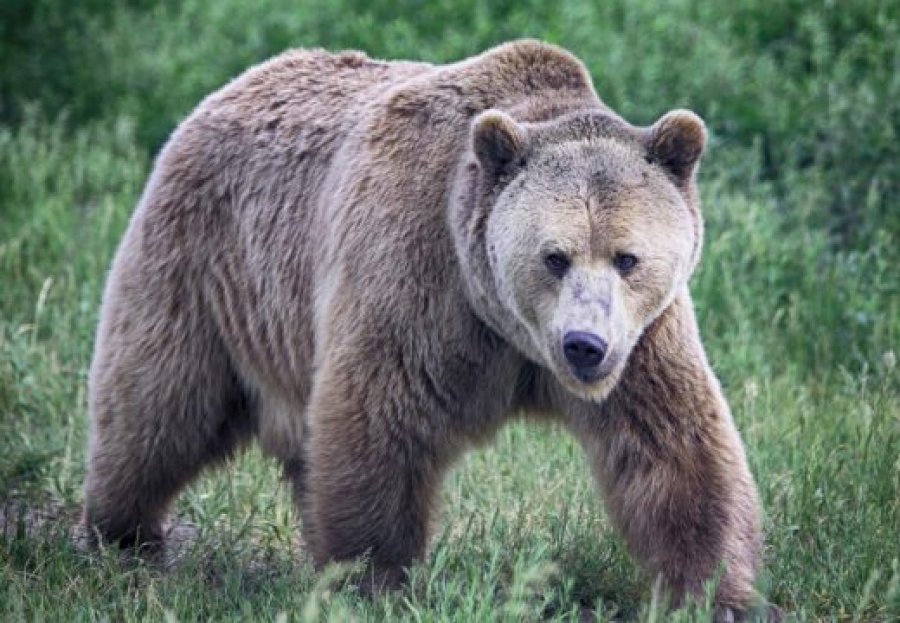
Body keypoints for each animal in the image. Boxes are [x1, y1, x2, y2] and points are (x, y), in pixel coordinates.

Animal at [81, 39, 772, 620]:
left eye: (627, 257)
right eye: (555, 256)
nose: (584, 346)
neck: (505, 325)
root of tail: (236, 83)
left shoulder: (643, 339)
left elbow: (674, 447)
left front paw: (717, 593)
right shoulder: (417, 279)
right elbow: (379, 422)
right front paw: (375, 580)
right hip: (207, 266)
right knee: (159, 403)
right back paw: (121, 534)